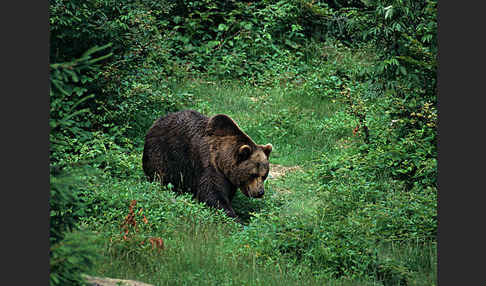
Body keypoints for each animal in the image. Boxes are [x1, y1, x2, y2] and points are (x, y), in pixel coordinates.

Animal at [142, 109, 274, 219]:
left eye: (264, 175)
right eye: (253, 174)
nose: (260, 192)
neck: (222, 160)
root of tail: (155, 122)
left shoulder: (228, 178)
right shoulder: (208, 164)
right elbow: (212, 194)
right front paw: (233, 216)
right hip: (163, 152)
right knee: (160, 175)